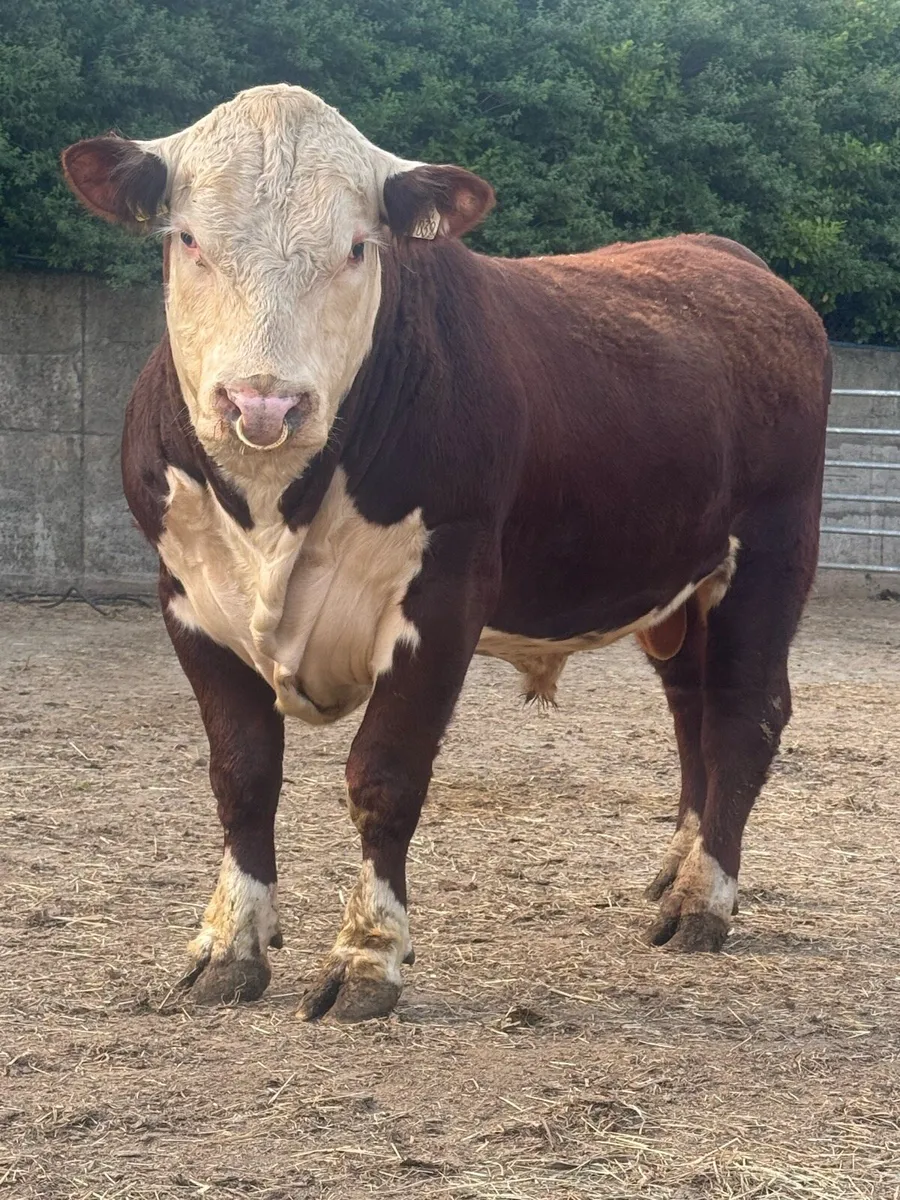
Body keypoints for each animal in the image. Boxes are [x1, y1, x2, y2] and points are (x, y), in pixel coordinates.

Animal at [61, 84, 830, 1023]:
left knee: (744, 715)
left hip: (771, 553)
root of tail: (730, 258)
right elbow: (241, 773)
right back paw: (673, 872)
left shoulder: (446, 593)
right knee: (693, 708)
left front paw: (367, 958)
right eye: (188, 238)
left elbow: (384, 776)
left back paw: (703, 902)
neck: (275, 505)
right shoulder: (187, 595)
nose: (264, 402)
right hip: (673, 580)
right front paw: (228, 946)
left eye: (358, 247)